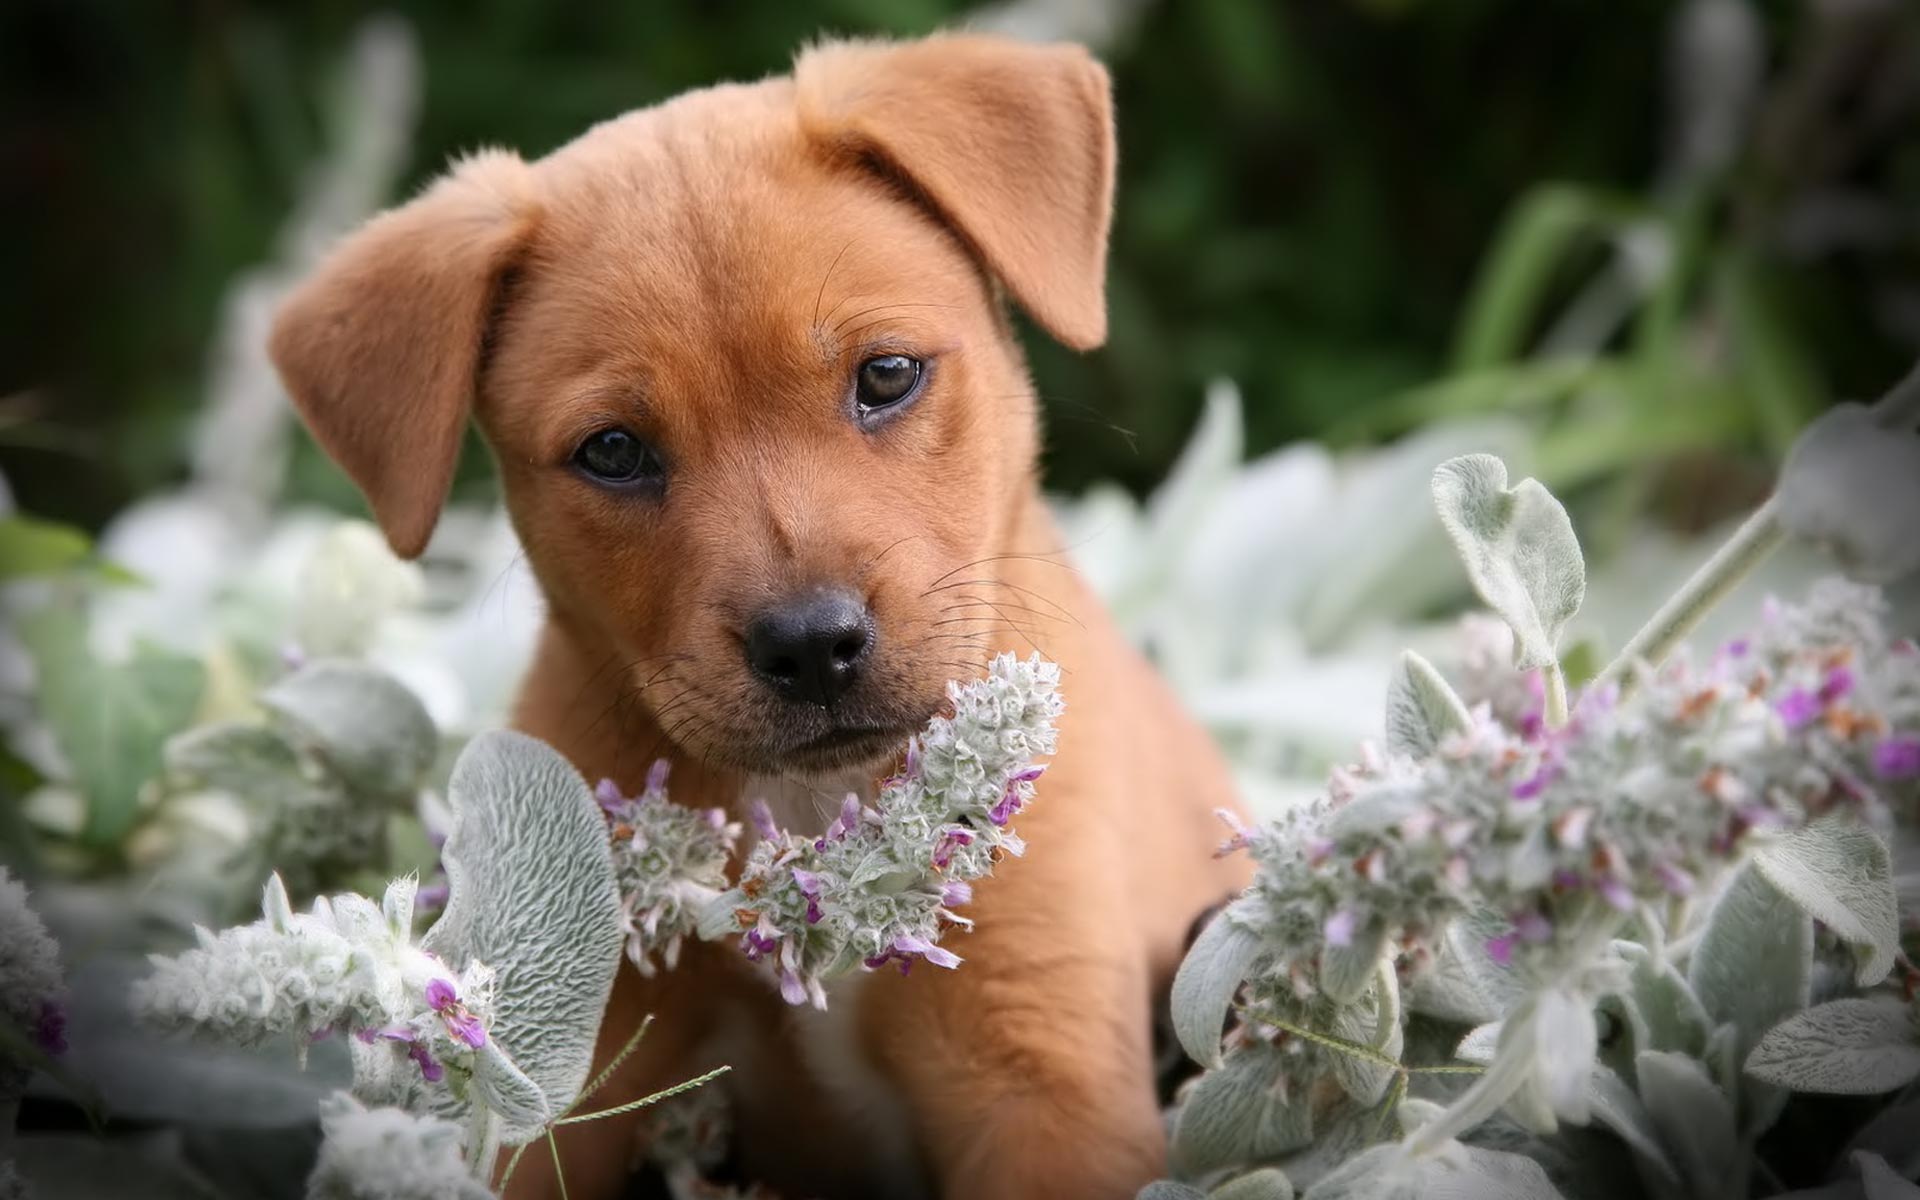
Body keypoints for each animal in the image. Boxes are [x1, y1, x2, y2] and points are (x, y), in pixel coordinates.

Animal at [278, 30, 1251, 1198]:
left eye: (887, 374)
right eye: (614, 450)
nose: (813, 647)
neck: (811, 805)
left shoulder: (1043, 1082)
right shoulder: (572, 1074)